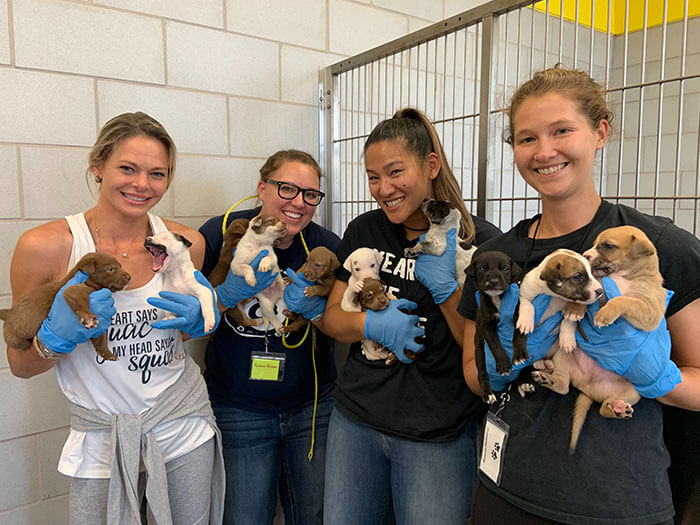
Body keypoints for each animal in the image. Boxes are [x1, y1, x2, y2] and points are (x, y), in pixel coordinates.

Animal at [0, 253, 131, 360]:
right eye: (110, 269)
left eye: (121, 266)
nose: (129, 276)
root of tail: (9, 313)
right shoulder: (73, 290)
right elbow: (80, 302)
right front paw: (88, 317)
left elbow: (101, 340)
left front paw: (107, 354)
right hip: (15, 339)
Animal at [468, 252, 524, 404]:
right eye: (482, 268)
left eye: (505, 269)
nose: (493, 281)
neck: (497, 299)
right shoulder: (486, 325)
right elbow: (495, 345)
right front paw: (504, 364)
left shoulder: (519, 314)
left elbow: (519, 335)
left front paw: (520, 355)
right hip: (479, 351)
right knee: (482, 372)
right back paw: (488, 394)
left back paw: (525, 381)